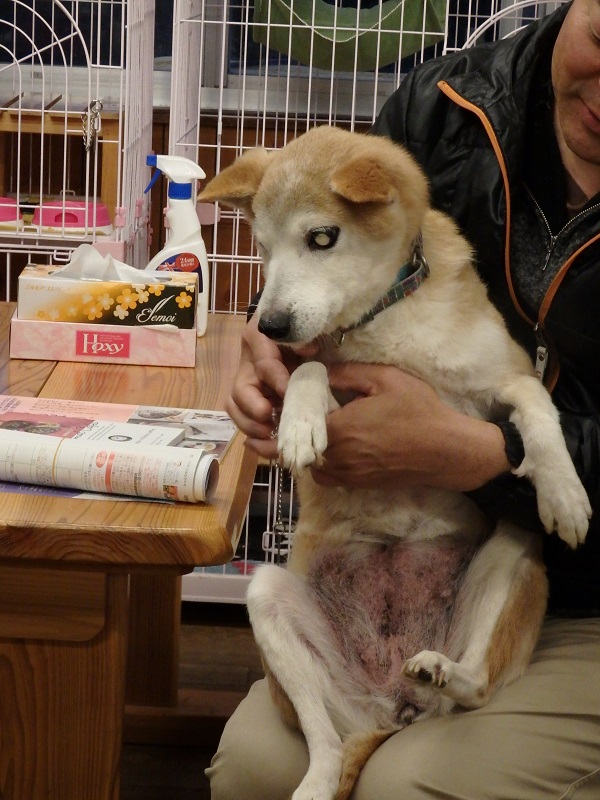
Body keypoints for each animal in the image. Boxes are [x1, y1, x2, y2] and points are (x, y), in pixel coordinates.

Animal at [198, 123, 592, 800]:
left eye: (321, 237)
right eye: (262, 247)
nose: (268, 324)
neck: (386, 322)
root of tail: (392, 709)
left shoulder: (495, 386)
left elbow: (534, 401)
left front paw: (563, 491)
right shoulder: (330, 378)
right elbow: (308, 368)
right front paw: (299, 424)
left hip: (515, 551)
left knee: (476, 686)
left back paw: (443, 671)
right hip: (268, 598)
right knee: (326, 746)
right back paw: (316, 780)